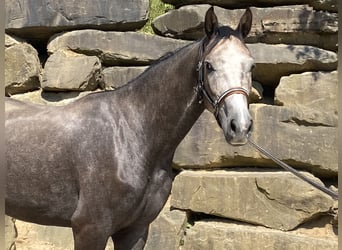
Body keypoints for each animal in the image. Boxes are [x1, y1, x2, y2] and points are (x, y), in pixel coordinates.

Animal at [5, 7, 254, 250]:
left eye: (251, 65)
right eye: (209, 65)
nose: (240, 126)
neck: (131, 134)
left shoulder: (135, 230)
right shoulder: (90, 229)